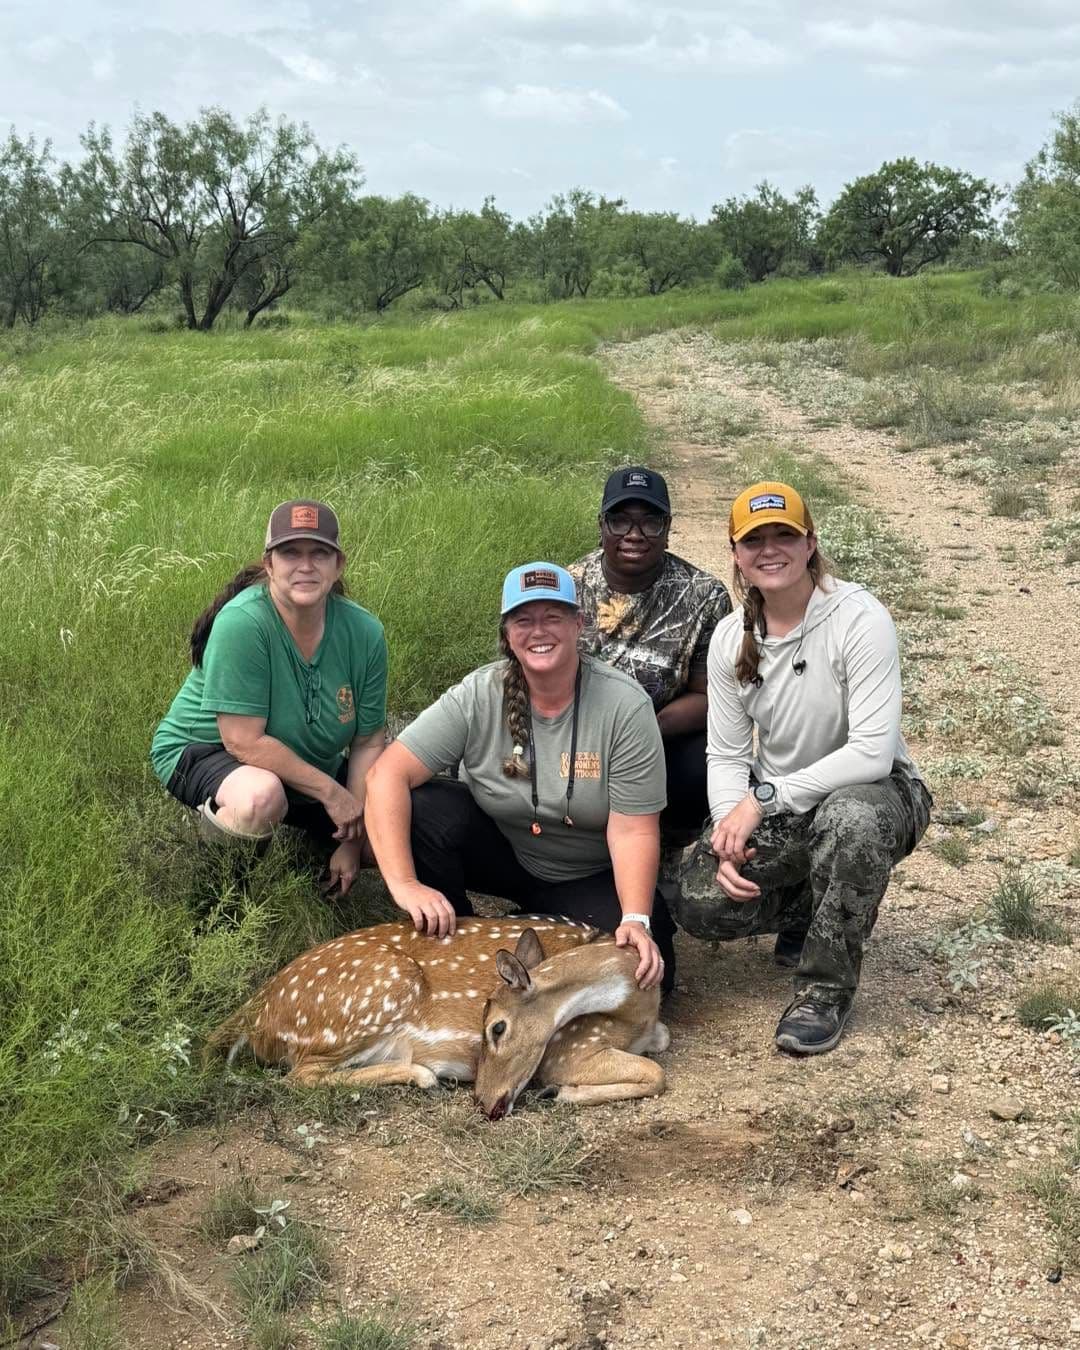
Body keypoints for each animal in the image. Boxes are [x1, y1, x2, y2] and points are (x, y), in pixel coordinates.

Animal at [204, 916, 669, 1111]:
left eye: (497, 1028)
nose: (483, 1101)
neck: (637, 1010)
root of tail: (255, 1012)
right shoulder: (568, 1047)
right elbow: (657, 1074)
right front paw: (559, 1092)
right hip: (384, 987)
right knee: (299, 1076)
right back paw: (423, 1074)